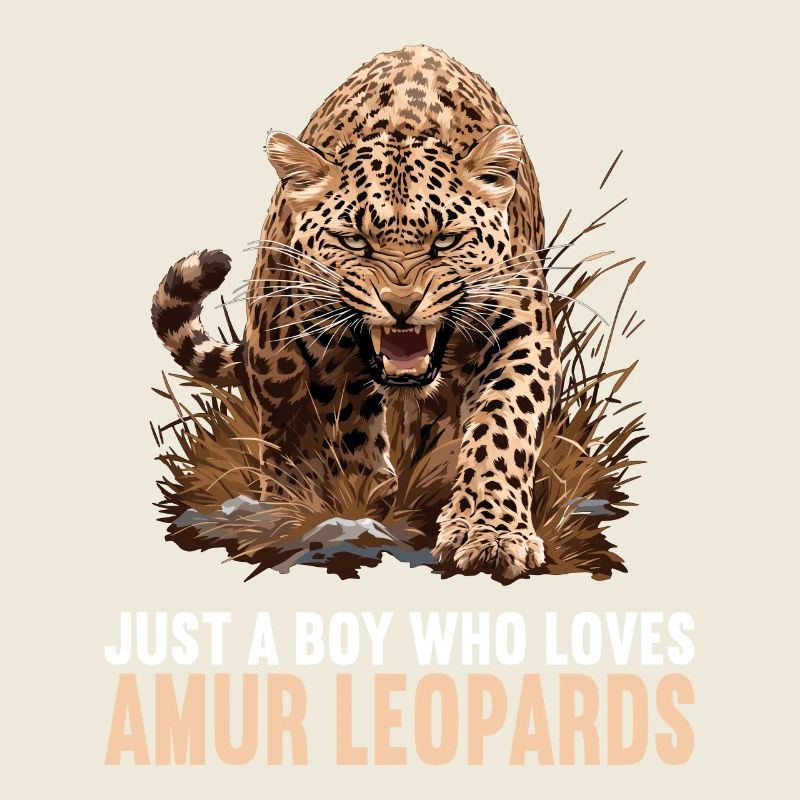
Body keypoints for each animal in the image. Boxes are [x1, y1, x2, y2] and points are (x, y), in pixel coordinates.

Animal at [151, 44, 562, 580]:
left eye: (446, 240)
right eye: (353, 241)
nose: (402, 304)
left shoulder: (519, 334)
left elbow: (501, 428)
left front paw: (490, 533)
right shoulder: (316, 355)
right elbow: (335, 430)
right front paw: (352, 504)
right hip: (273, 342)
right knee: (285, 424)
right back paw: (291, 501)